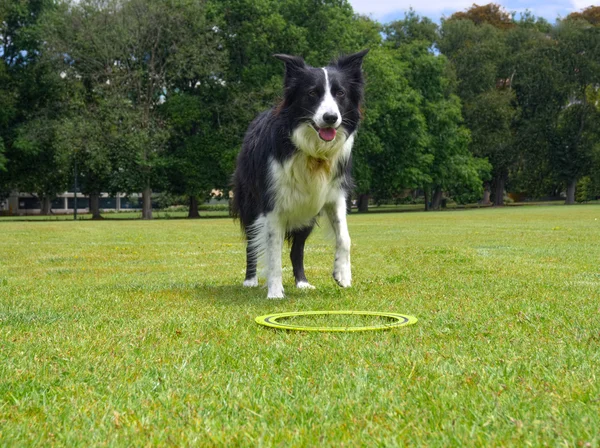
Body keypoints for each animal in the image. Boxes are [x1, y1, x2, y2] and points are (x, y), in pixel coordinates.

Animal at [232, 50, 368, 298]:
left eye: (340, 93)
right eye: (312, 93)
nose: (331, 118)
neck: (312, 151)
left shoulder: (334, 194)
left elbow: (344, 236)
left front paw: (343, 275)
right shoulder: (272, 203)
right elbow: (273, 250)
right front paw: (275, 292)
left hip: (307, 213)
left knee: (297, 249)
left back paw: (302, 283)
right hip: (250, 203)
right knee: (251, 243)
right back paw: (250, 280)